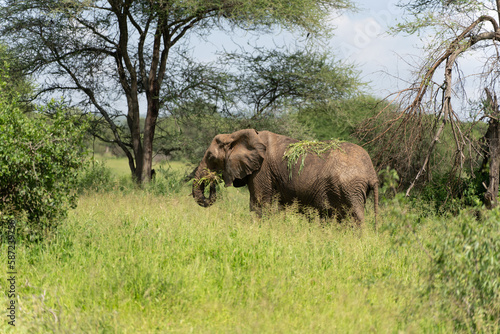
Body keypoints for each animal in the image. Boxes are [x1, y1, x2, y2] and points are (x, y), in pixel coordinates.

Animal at [192, 129, 378, 226]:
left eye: (210, 157)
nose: (212, 179)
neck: (236, 135)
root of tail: (372, 174)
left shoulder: (262, 171)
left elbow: (259, 205)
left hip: (349, 188)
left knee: (354, 218)